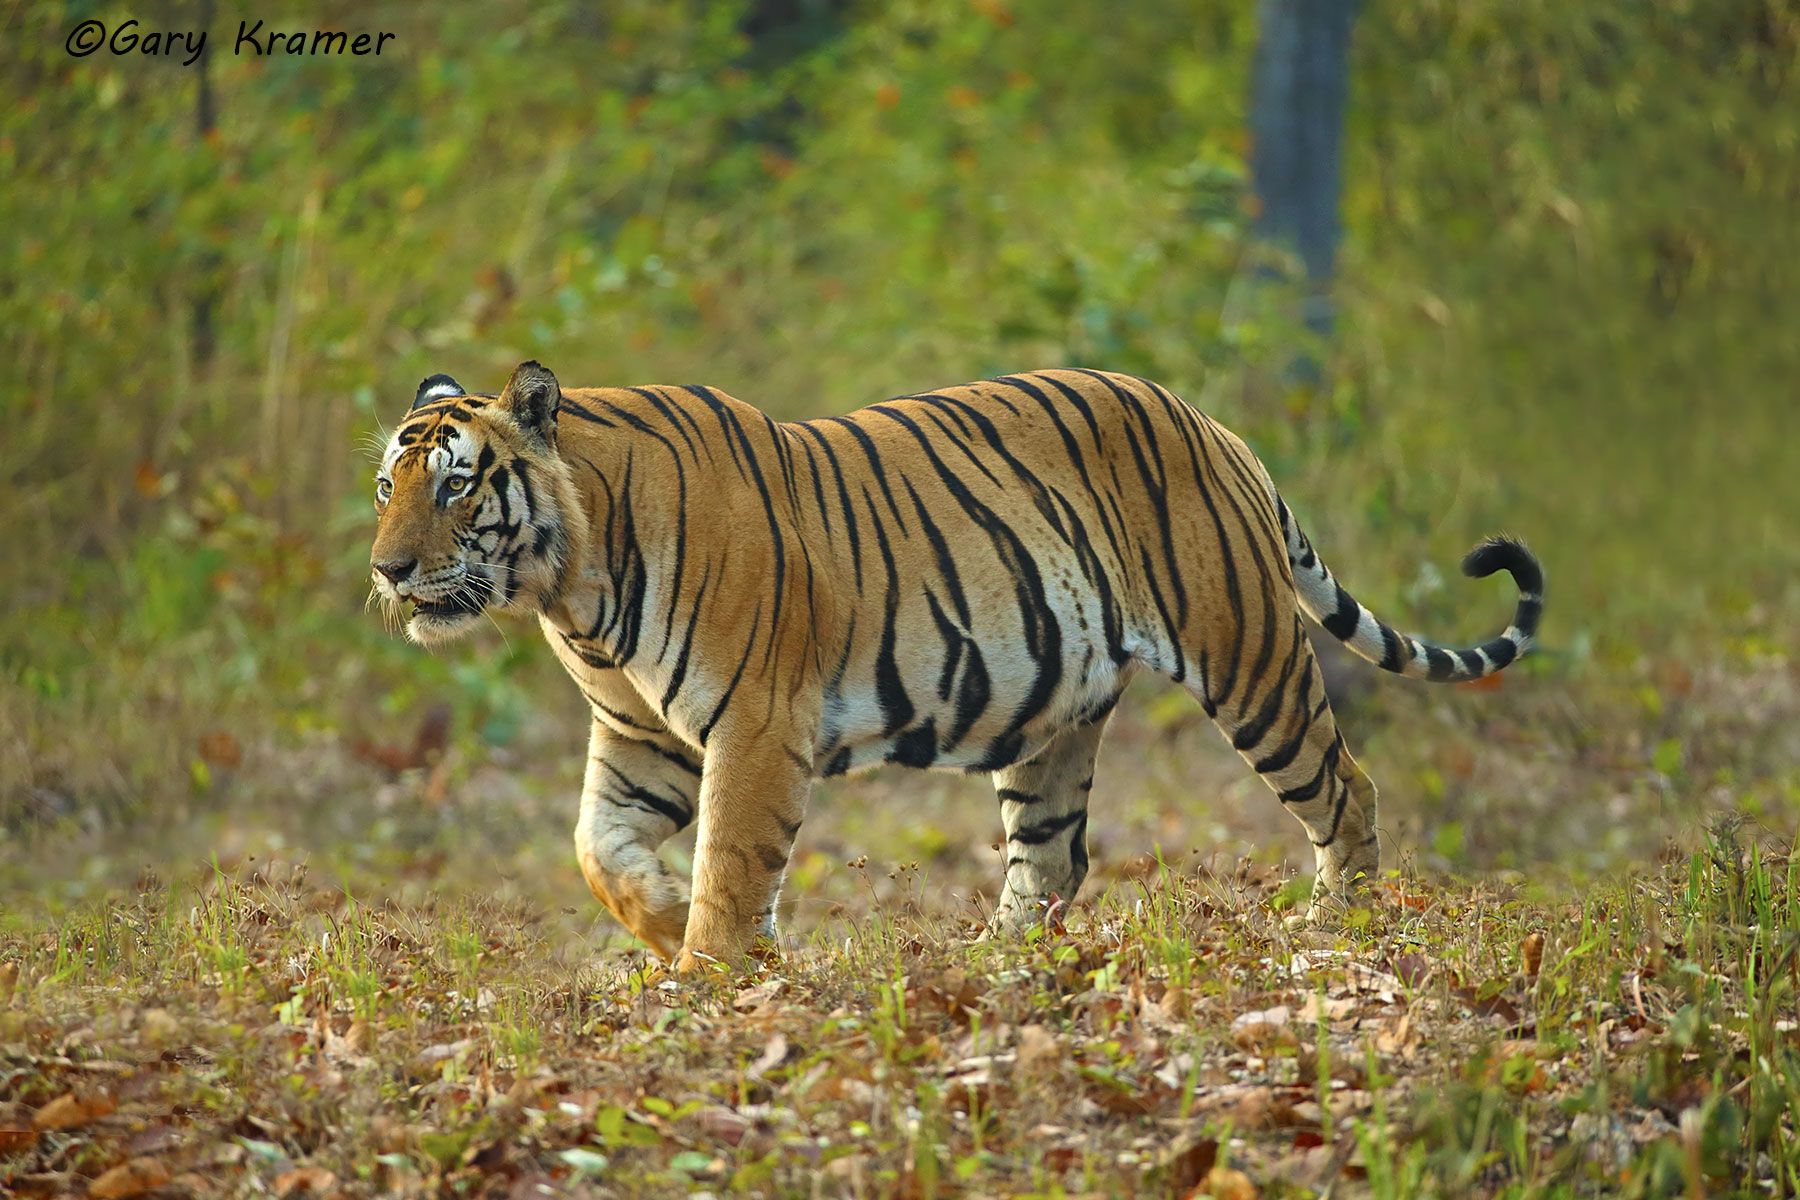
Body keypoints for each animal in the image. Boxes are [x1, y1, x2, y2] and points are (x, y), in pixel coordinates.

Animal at [370, 361, 1542, 970]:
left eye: (456, 486)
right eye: (388, 484)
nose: (387, 569)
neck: (571, 591)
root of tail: (1214, 423)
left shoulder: (755, 724)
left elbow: (734, 864)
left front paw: (715, 978)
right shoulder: (640, 735)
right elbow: (597, 852)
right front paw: (664, 923)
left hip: (1248, 656)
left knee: (1347, 787)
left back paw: (1344, 929)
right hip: (1056, 713)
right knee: (1053, 860)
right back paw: (999, 969)